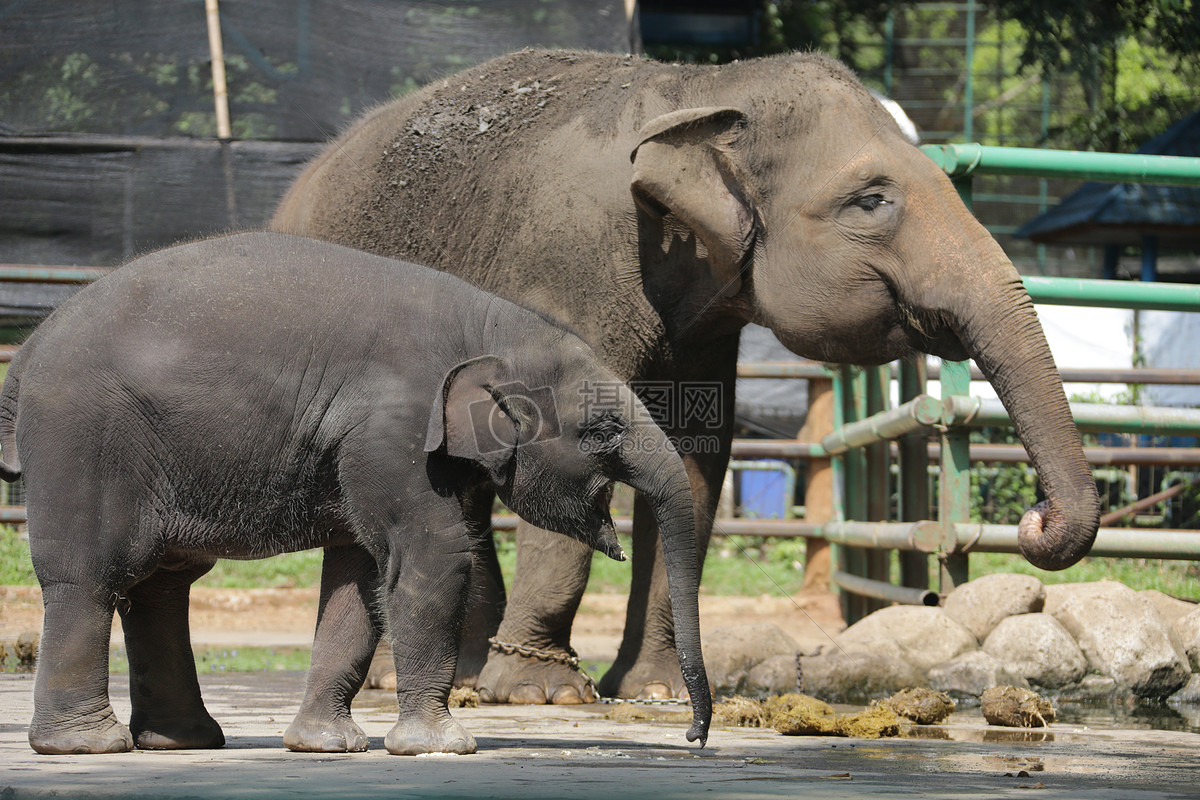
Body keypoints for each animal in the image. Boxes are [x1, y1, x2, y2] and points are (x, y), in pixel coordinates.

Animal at [0, 232, 710, 758]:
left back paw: (182, 743)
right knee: (90, 575)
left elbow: (361, 575)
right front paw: (442, 746)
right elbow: (432, 554)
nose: (693, 735)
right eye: (603, 428)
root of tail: (28, 349)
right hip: (79, 438)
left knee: (161, 584)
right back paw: (86, 748)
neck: (491, 323)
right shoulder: (392, 429)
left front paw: (327, 747)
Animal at [272, 50, 1099, 705]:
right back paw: (413, 679)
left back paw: (465, 674)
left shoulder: (706, 323)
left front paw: (657, 692)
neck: (703, 88)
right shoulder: (564, 271)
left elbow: (697, 462)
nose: (1032, 518)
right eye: (872, 200)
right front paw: (545, 694)